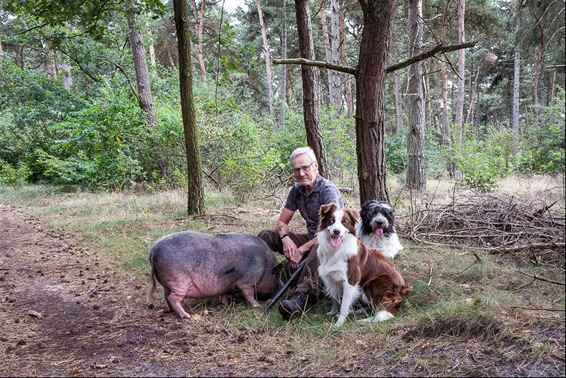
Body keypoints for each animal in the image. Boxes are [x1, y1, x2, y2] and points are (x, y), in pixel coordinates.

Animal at [150, 232, 280, 318]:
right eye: (276, 278)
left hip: (168, 282)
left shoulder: (227, 284)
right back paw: (187, 316)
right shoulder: (247, 280)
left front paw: (226, 304)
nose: (272, 295)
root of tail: (154, 249)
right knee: (173, 298)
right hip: (179, 281)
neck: (266, 264)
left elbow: (224, 293)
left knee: (166, 295)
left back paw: (171, 311)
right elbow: (249, 294)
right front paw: (256, 305)